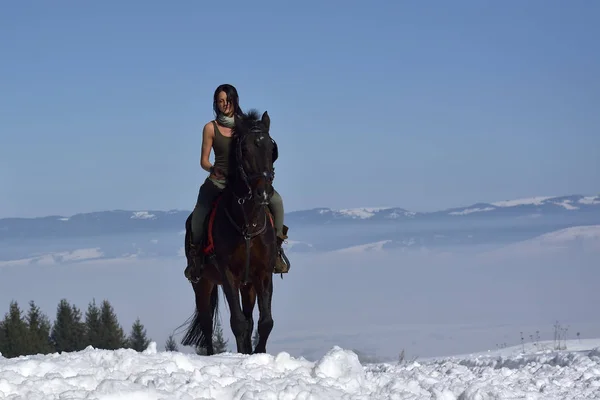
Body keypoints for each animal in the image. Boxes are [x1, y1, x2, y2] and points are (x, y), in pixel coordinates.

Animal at [180, 108, 278, 354]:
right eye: (244, 150)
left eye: (272, 150)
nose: (264, 192)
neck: (247, 223)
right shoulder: (227, 274)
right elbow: (238, 322)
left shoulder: (263, 273)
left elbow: (264, 322)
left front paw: (258, 354)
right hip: (202, 283)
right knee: (206, 322)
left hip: (248, 285)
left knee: (249, 317)